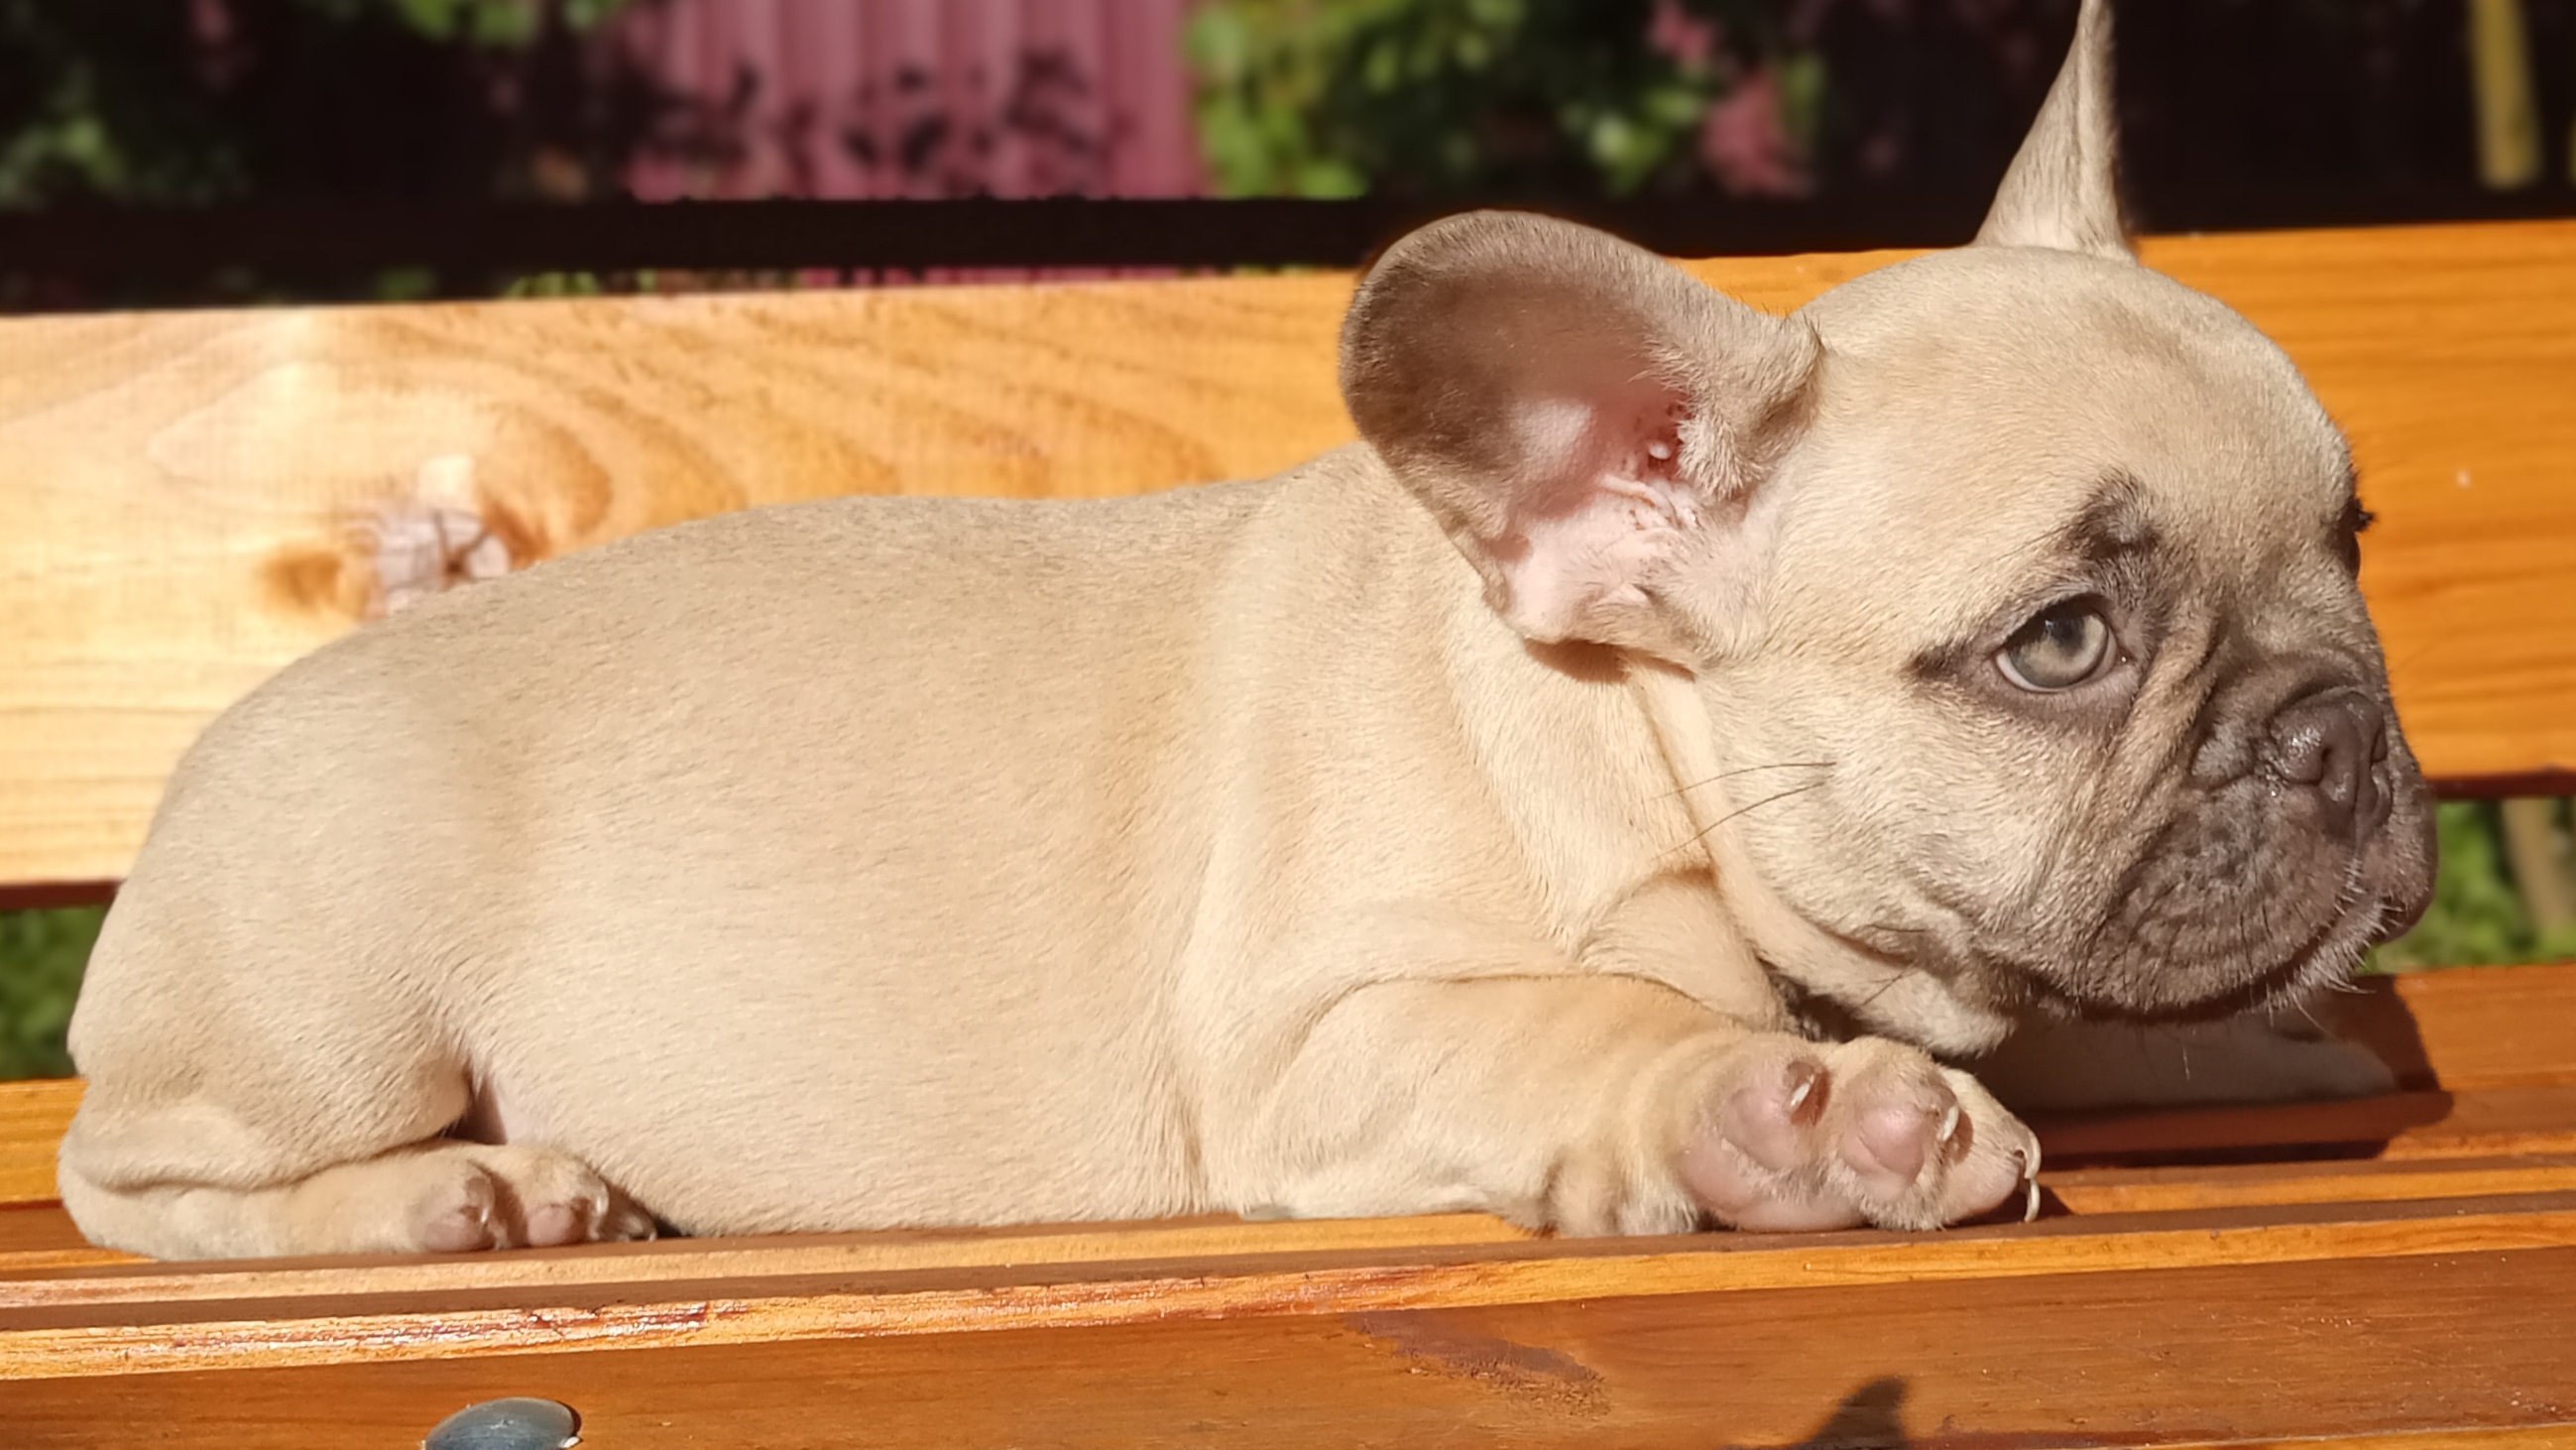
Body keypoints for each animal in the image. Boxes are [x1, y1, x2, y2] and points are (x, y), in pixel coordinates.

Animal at [60, 0, 2431, 1262]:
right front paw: (1794, 1120)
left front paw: (2258, 1041)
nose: (2345, 736)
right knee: (130, 1177)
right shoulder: (1320, 1040)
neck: (1606, 727)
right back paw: (459, 1199)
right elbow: (1583, 1026)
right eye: (2063, 642)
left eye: (2356, 532)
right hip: (324, 1000)